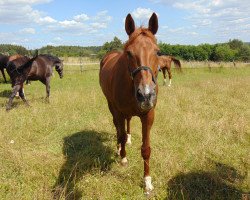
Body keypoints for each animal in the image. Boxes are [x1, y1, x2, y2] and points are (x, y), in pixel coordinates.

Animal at [99, 12, 159, 194]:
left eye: (158, 52)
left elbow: (146, 149)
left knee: (128, 123)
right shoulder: (118, 111)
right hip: (111, 105)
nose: (146, 95)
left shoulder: (148, 115)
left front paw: (147, 182)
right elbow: (120, 134)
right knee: (118, 128)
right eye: (129, 53)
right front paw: (123, 157)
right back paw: (120, 148)